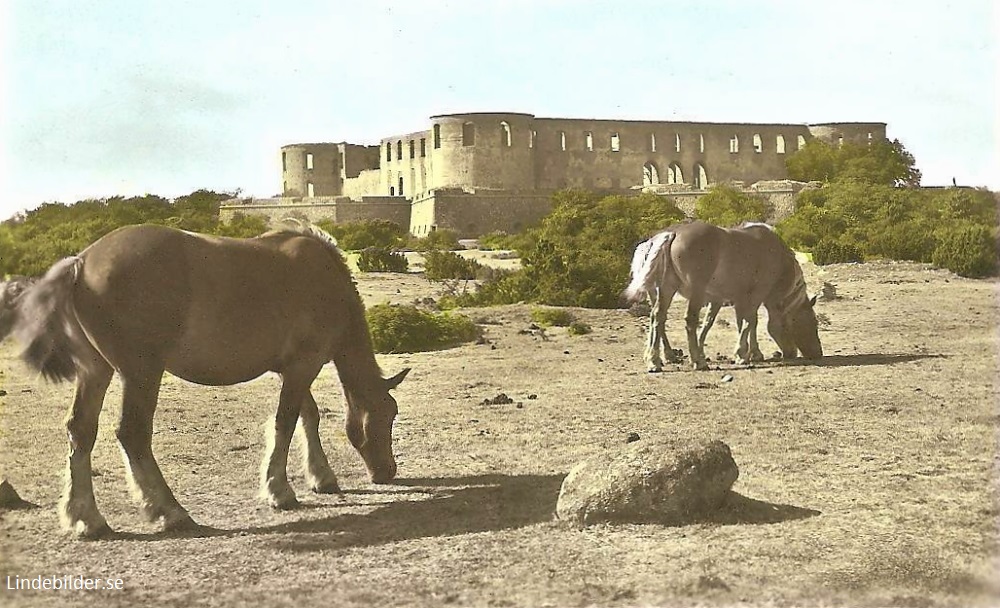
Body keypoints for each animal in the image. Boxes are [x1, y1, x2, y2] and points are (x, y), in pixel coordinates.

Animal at [6, 223, 406, 536]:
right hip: (141, 373)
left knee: (81, 431)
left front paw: (321, 477)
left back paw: (87, 518)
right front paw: (280, 491)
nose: (387, 471)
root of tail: (82, 262)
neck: (323, 276)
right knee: (133, 434)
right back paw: (171, 512)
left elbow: (307, 417)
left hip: (96, 372)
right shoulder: (301, 367)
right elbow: (286, 423)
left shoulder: (291, 370)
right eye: (387, 415)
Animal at [620, 218, 824, 370]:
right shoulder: (755, 296)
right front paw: (742, 355)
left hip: (667, 289)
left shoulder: (730, 299)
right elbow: (751, 322)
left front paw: (751, 353)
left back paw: (655, 361)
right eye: (811, 323)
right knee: (689, 320)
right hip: (695, 292)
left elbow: (726, 324)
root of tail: (673, 234)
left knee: (658, 317)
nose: (817, 354)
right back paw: (697, 361)